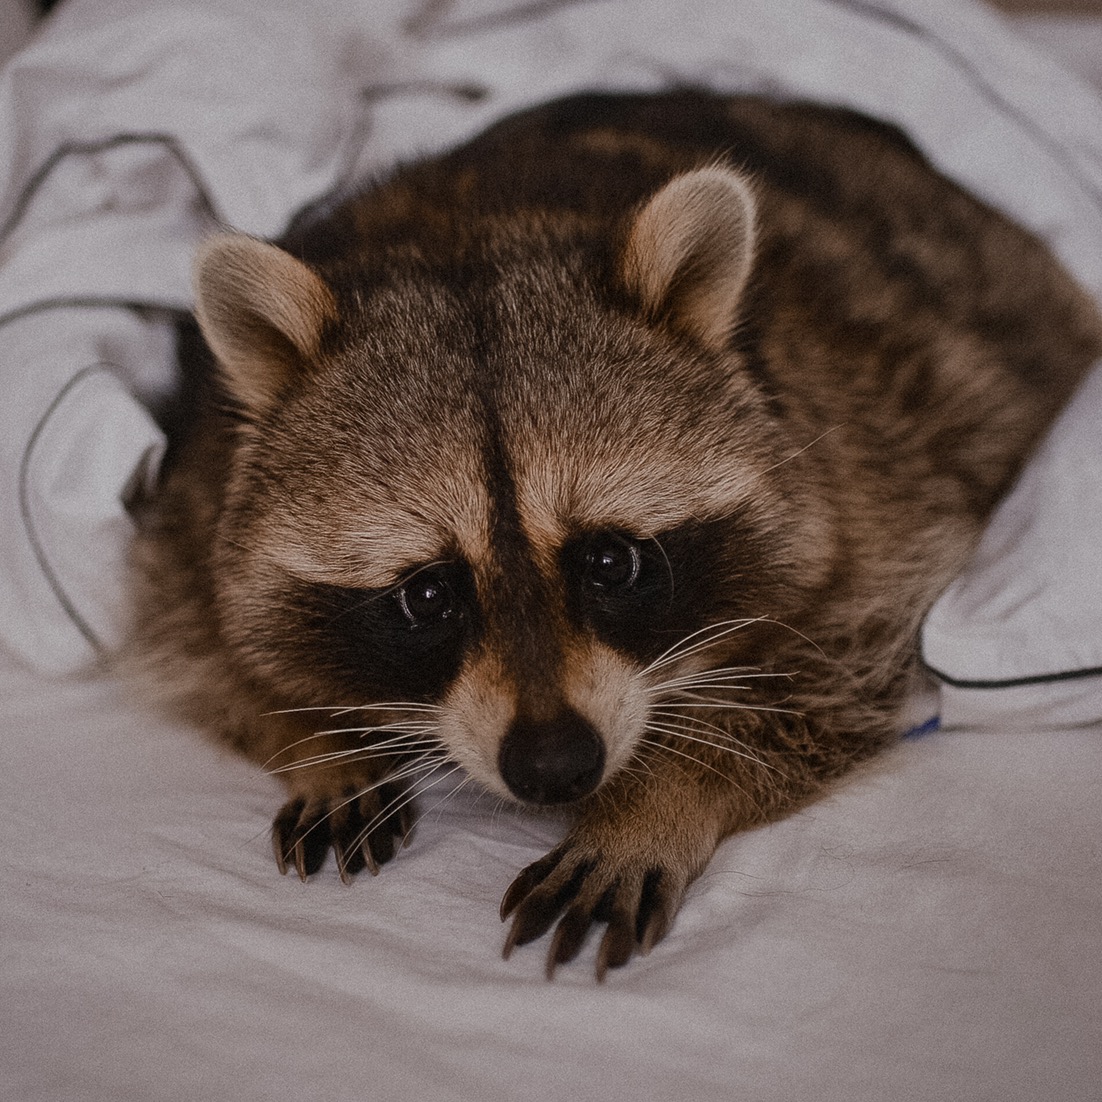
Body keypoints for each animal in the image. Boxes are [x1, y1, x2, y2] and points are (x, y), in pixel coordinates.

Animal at [131, 91, 1102, 979]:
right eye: (428, 593)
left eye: (610, 559)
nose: (556, 768)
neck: (466, 227)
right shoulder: (198, 489)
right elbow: (205, 641)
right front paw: (318, 741)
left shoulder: (873, 487)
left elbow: (832, 665)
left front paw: (654, 800)